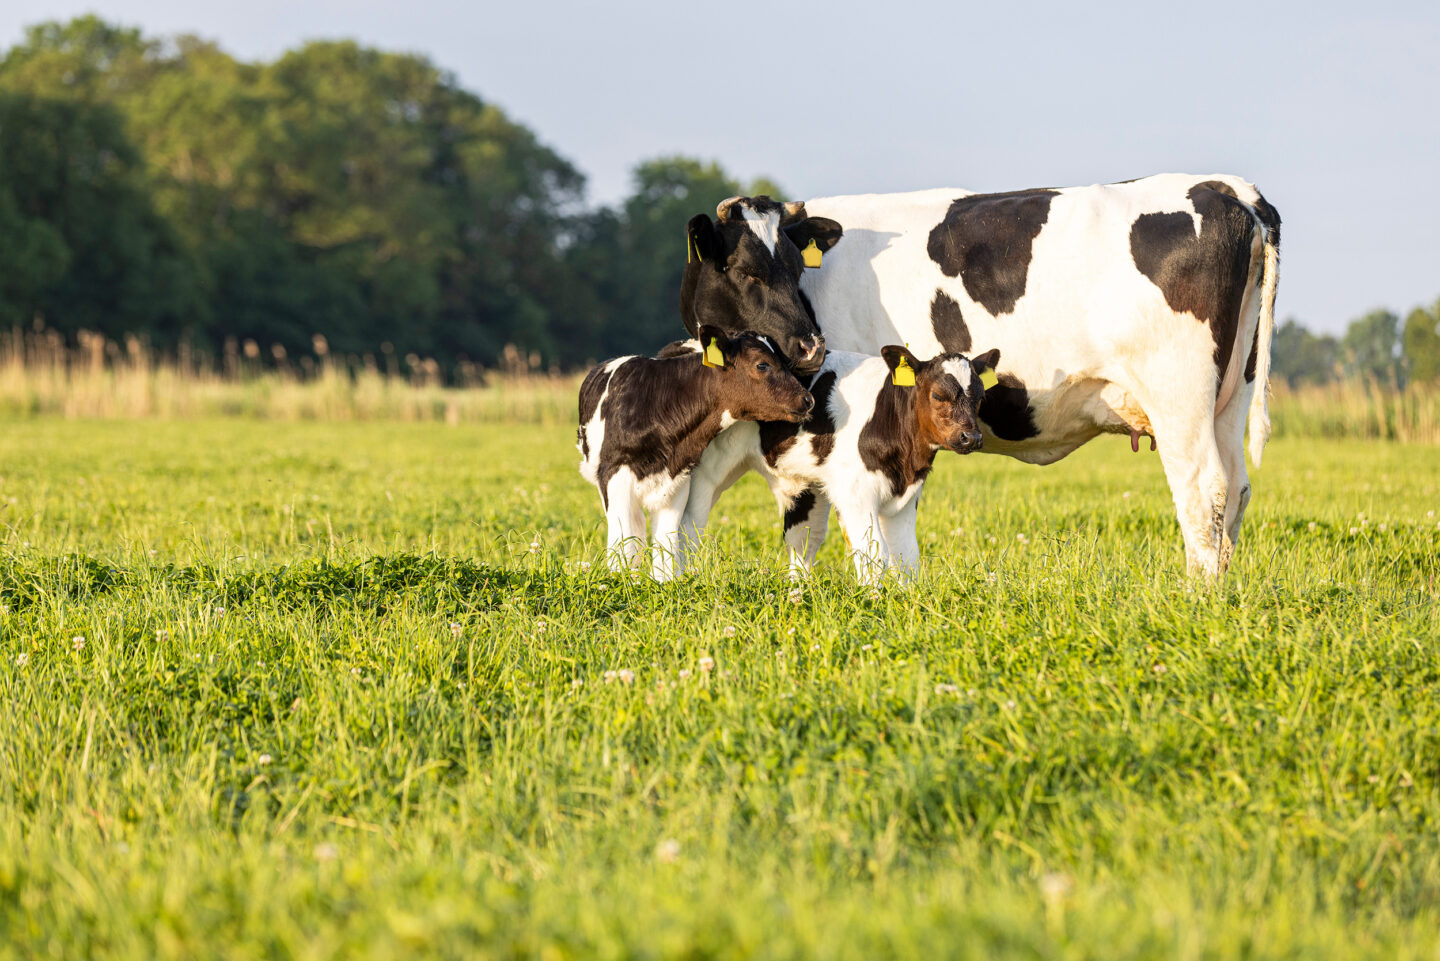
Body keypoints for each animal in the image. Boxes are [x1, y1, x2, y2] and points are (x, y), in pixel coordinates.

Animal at [577, 326, 813, 580]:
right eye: (762, 364)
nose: (807, 399)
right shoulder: (614, 477)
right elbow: (624, 541)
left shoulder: (679, 479)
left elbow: (666, 544)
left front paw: (664, 582)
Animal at [677, 345, 997, 585]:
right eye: (938, 395)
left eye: (981, 397)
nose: (971, 437)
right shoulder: (856, 492)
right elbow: (874, 553)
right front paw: (874, 603)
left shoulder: (905, 497)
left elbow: (907, 557)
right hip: (709, 468)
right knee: (691, 525)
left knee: (803, 537)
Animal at [783, 174, 1281, 578]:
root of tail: (1223, 187)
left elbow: (817, 519)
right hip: (1231, 394)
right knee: (1236, 488)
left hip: (1178, 393)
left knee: (1203, 489)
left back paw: (1198, 595)